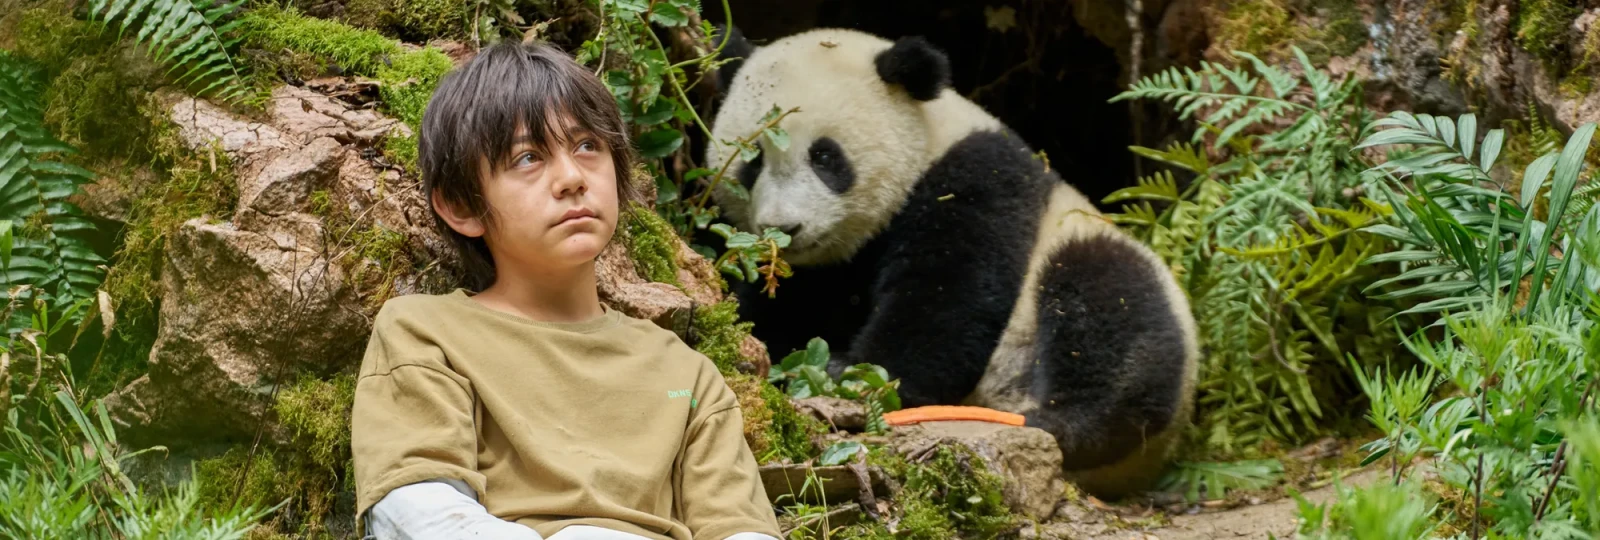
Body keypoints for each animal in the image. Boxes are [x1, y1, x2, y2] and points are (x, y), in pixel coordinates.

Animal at [702, 26, 1201, 499]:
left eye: (824, 156)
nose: (783, 229)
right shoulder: (816, 271)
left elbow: (948, 300)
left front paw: (852, 373)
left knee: (1114, 316)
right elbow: (784, 306)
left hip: (1091, 260)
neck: (927, 137)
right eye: (752, 160)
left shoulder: (974, 179)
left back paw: (1053, 421)